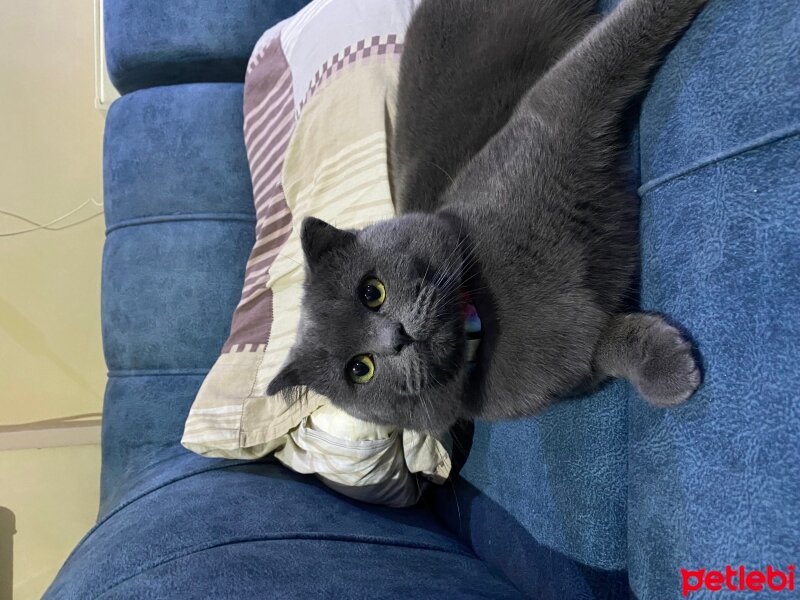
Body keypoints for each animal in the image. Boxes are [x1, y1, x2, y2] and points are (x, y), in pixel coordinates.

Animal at [268, 0, 708, 434]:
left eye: (371, 291)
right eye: (360, 368)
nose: (396, 338)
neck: (484, 312)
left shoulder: (556, 107)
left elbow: (615, 46)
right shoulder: (569, 366)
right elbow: (605, 346)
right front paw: (667, 366)